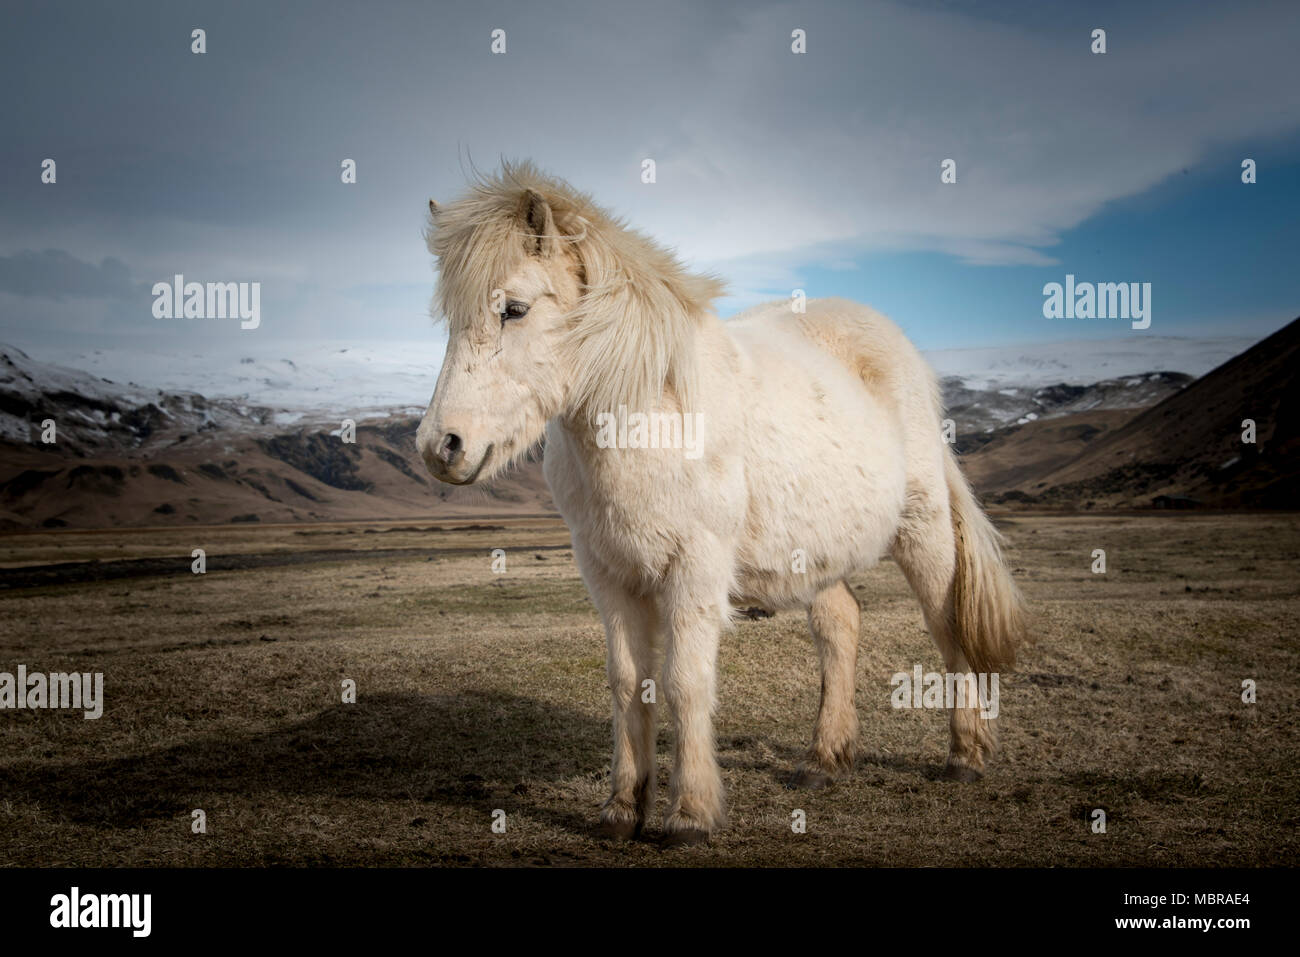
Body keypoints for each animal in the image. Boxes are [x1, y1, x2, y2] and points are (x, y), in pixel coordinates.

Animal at [416, 162, 1024, 842]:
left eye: (514, 309)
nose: (441, 447)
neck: (649, 413)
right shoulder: (607, 572)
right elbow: (627, 682)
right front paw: (622, 809)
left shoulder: (696, 566)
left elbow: (684, 682)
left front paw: (689, 814)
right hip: (815, 553)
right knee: (840, 623)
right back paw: (824, 761)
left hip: (922, 530)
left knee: (948, 628)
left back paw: (966, 755)